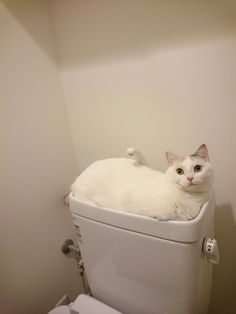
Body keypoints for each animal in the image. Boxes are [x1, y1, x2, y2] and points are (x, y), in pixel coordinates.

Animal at [71, 145, 213, 221]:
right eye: (179, 171)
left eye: (197, 168)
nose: (190, 178)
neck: (190, 199)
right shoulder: (129, 196)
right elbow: (166, 211)